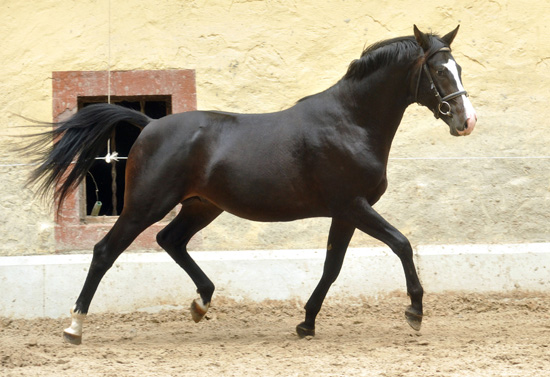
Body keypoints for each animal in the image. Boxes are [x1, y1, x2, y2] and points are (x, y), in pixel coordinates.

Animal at [25, 25, 476, 344]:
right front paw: (415, 312)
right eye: (439, 70)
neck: (350, 122)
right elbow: (401, 244)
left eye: (458, 68)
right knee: (106, 251)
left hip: (201, 205)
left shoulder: (345, 212)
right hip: (145, 206)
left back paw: (201, 303)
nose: (466, 121)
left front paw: (306, 323)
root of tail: (150, 124)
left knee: (171, 240)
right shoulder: (354, 205)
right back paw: (74, 327)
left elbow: (332, 267)